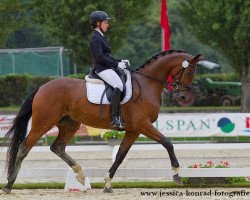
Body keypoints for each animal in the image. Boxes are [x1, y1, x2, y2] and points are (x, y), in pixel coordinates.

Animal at [2, 50, 203, 194]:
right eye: (189, 72)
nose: (184, 97)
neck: (147, 85)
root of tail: (42, 87)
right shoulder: (143, 125)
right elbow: (168, 143)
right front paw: (177, 174)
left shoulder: (134, 130)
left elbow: (120, 156)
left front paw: (107, 184)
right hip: (42, 123)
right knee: (24, 148)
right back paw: (9, 185)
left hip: (69, 124)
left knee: (57, 147)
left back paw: (80, 175)